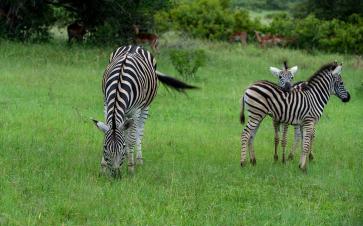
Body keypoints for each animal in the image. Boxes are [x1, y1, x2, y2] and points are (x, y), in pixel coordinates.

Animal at [92, 45, 198, 177]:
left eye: (122, 147)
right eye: (105, 147)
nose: (116, 175)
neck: (119, 87)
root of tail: (133, 46)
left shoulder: (136, 110)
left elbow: (131, 139)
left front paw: (131, 168)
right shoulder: (106, 105)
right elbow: (107, 131)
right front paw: (103, 168)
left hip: (145, 108)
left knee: (139, 131)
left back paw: (138, 160)